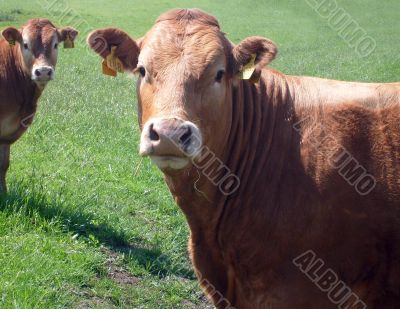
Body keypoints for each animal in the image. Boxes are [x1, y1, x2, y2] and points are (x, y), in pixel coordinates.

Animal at [0, 18, 78, 190]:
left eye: (55, 44)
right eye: (25, 44)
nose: (43, 71)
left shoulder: (7, 134)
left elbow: (3, 164)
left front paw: (4, 192)